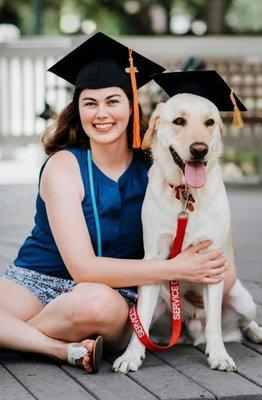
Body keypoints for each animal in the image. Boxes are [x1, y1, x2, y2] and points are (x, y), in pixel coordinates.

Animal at [113, 92, 262, 374]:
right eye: (179, 121)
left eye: (210, 122)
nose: (199, 150)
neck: (185, 195)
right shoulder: (153, 259)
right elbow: (141, 322)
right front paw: (131, 356)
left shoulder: (213, 261)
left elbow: (214, 322)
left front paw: (219, 355)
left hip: (241, 298)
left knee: (244, 321)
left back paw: (254, 332)